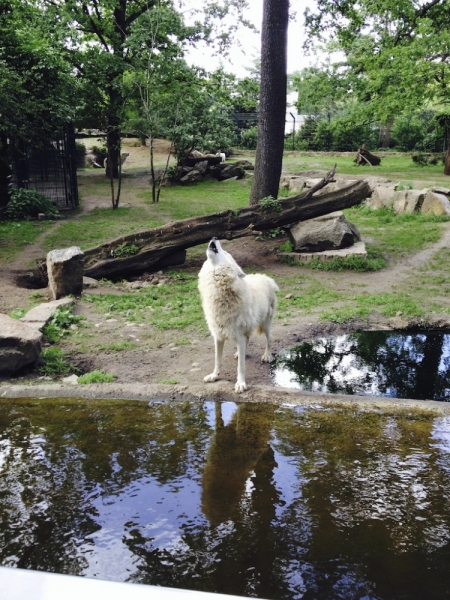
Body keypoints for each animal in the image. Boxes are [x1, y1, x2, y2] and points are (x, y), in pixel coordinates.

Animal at [199, 239, 280, 394]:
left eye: (225, 253)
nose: (214, 237)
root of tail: (266, 277)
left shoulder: (239, 335)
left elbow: (241, 367)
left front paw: (241, 384)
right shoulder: (218, 336)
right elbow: (217, 361)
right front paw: (214, 376)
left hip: (266, 324)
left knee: (270, 339)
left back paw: (267, 356)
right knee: (248, 341)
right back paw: (238, 353)